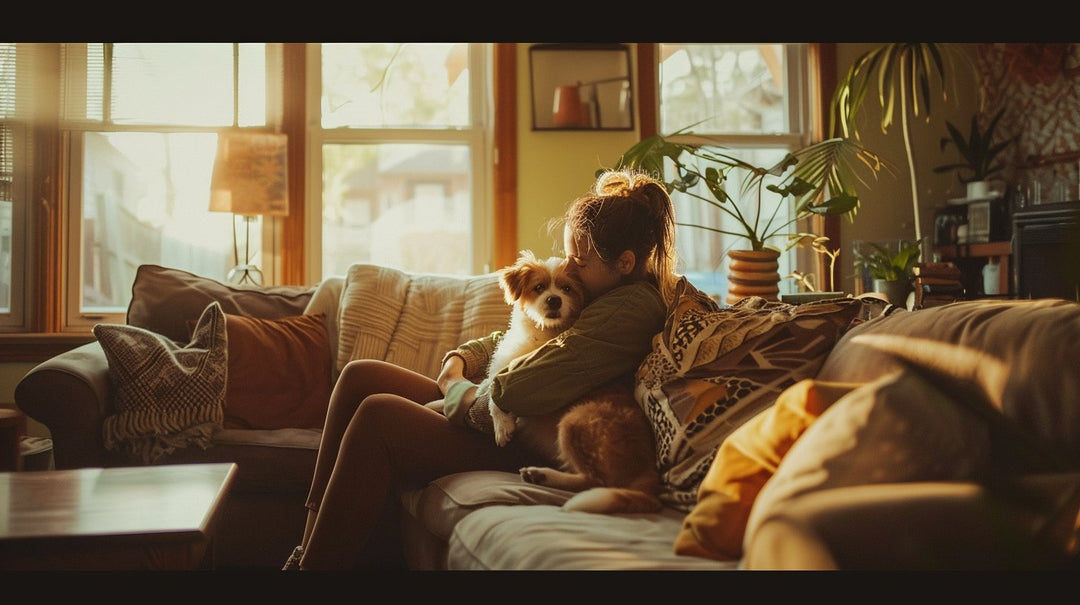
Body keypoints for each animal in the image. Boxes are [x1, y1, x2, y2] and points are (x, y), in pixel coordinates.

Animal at [488, 248, 656, 512]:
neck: (544, 332)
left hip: (573, 421)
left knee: (593, 481)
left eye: (566, 289)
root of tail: (650, 471)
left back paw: (543, 475)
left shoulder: (513, 373)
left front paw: (502, 427)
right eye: (539, 287)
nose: (554, 300)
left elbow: (494, 393)